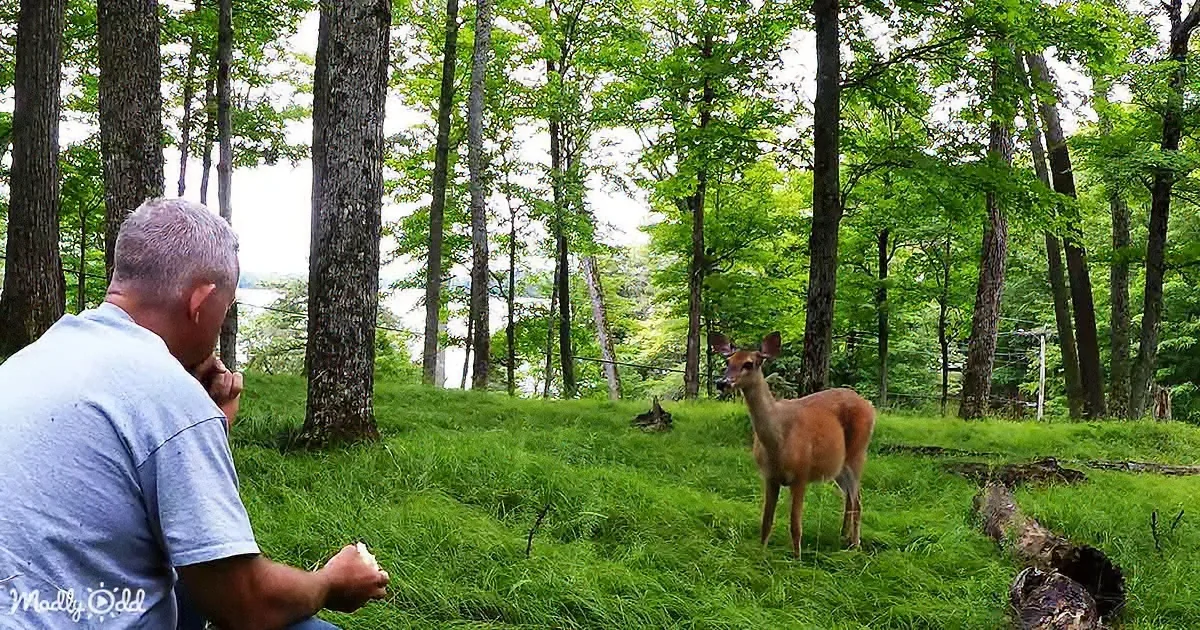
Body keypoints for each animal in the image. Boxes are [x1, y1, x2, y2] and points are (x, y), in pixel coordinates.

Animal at [710, 331, 875, 557]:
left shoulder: (801, 475)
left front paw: (797, 558)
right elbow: (766, 521)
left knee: (858, 500)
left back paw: (855, 544)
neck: (777, 441)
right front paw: (761, 553)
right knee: (849, 497)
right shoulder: (769, 477)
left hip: (858, 453)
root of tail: (870, 406)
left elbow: (795, 525)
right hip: (838, 466)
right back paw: (844, 536)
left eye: (749, 363)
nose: (721, 382)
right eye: (728, 361)